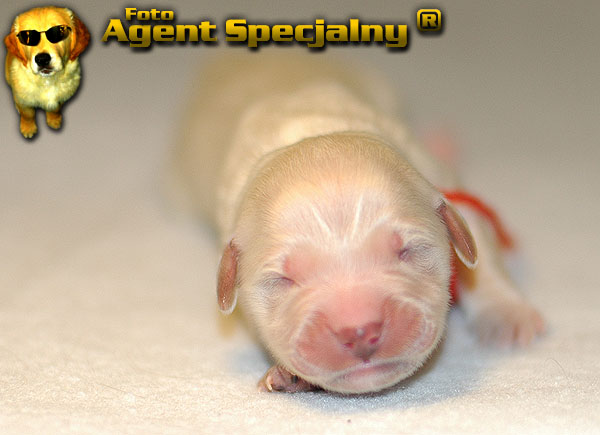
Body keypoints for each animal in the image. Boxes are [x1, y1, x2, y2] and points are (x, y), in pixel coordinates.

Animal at [4, 6, 89, 138]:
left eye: (59, 31)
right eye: (27, 36)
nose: (42, 59)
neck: (47, 81)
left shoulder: (60, 99)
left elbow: (54, 109)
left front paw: (54, 121)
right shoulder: (23, 100)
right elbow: (27, 114)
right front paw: (28, 128)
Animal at [169, 53, 544, 394]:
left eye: (407, 251)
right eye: (282, 280)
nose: (360, 330)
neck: (315, 132)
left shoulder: (435, 175)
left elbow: (479, 247)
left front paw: (507, 315)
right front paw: (289, 376)